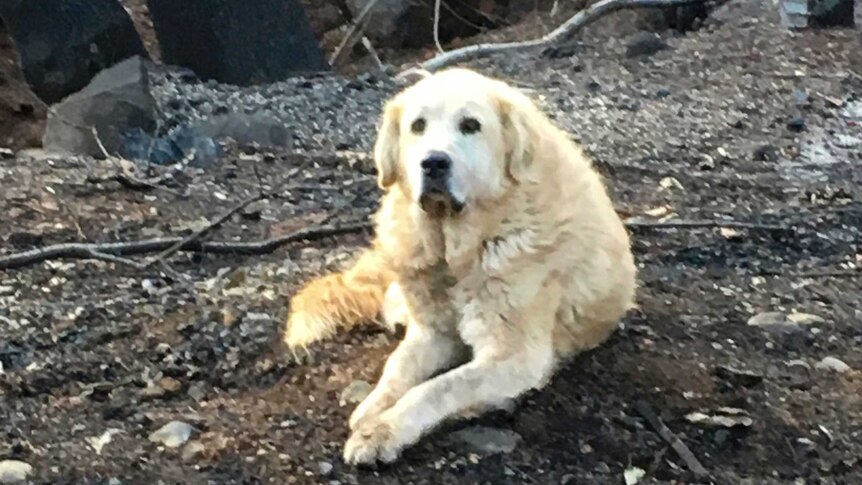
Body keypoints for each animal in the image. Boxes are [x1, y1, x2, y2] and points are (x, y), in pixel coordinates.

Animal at [282, 68, 636, 466]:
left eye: (470, 125)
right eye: (417, 126)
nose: (434, 162)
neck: (456, 248)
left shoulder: (514, 356)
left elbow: (437, 388)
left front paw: (383, 431)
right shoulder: (432, 333)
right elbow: (397, 368)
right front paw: (373, 409)